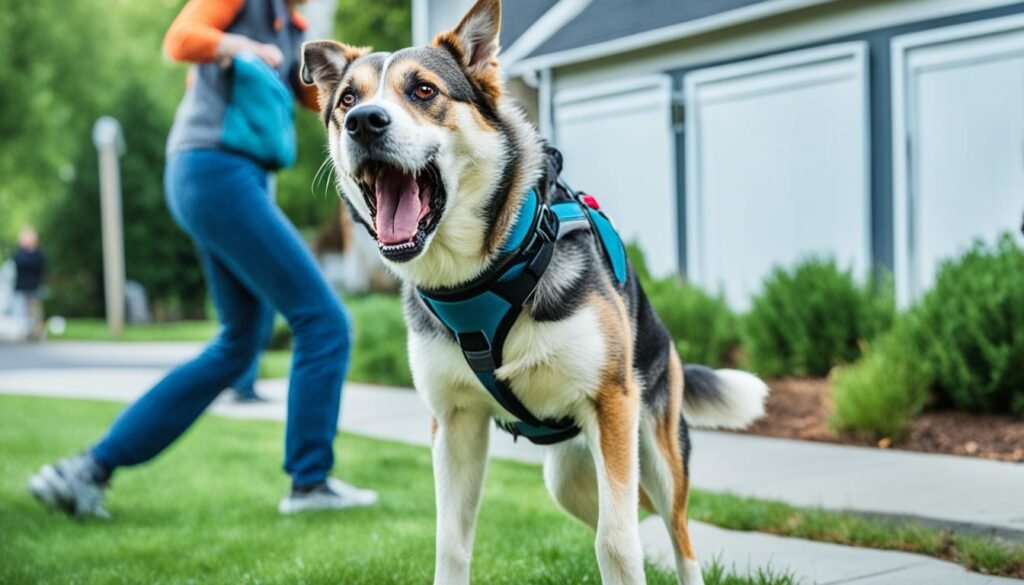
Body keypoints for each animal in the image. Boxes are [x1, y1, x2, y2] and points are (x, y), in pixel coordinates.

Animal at [303, 2, 770, 581]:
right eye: (348, 99)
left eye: (424, 91)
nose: (363, 121)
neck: (480, 275)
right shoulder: (455, 422)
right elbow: (450, 543)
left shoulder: (612, 402)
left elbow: (617, 543)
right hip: (569, 476)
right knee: (626, 508)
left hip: (655, 445)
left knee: (675, 531)